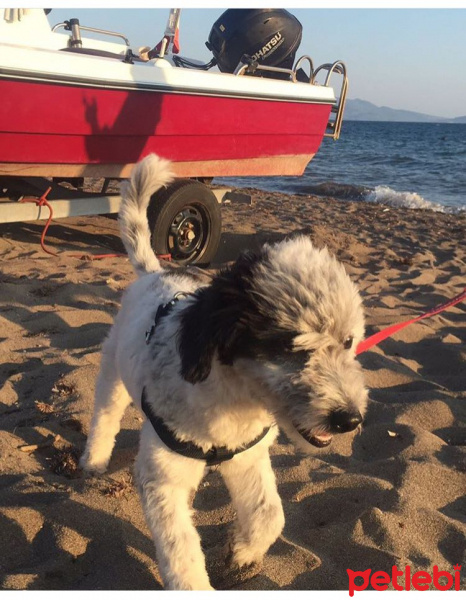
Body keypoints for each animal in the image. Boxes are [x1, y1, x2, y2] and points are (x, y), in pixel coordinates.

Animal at [82, 155, 370, 592]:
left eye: (349, 341)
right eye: (292, 347)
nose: (348, 420)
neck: (232, 399)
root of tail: (155, 273)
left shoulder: (247, 457)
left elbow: (270, 514)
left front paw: (241, 555)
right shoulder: (164, 479)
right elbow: (182, 556)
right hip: (113, 370)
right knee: (104, 415)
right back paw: (93, 460)